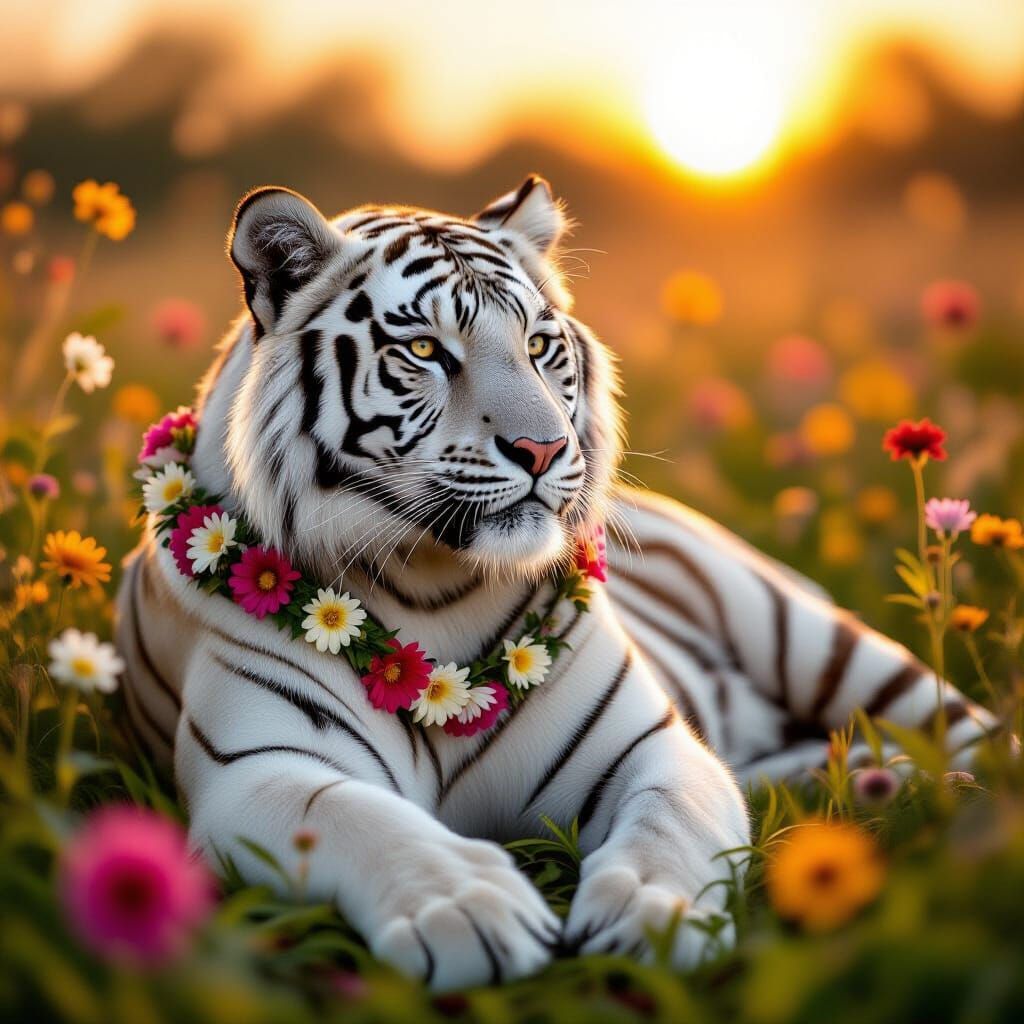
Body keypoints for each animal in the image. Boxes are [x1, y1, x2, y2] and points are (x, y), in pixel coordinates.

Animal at [116, 176, 995, 991]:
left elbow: (669, 822)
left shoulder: (650, 746)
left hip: (808, 637)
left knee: (970, 728)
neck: (434, 587)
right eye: (426, 352)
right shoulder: (260, 769)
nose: (542, 449)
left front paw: (654, 917)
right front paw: (467, 910)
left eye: (539, 345)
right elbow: (360, 817)